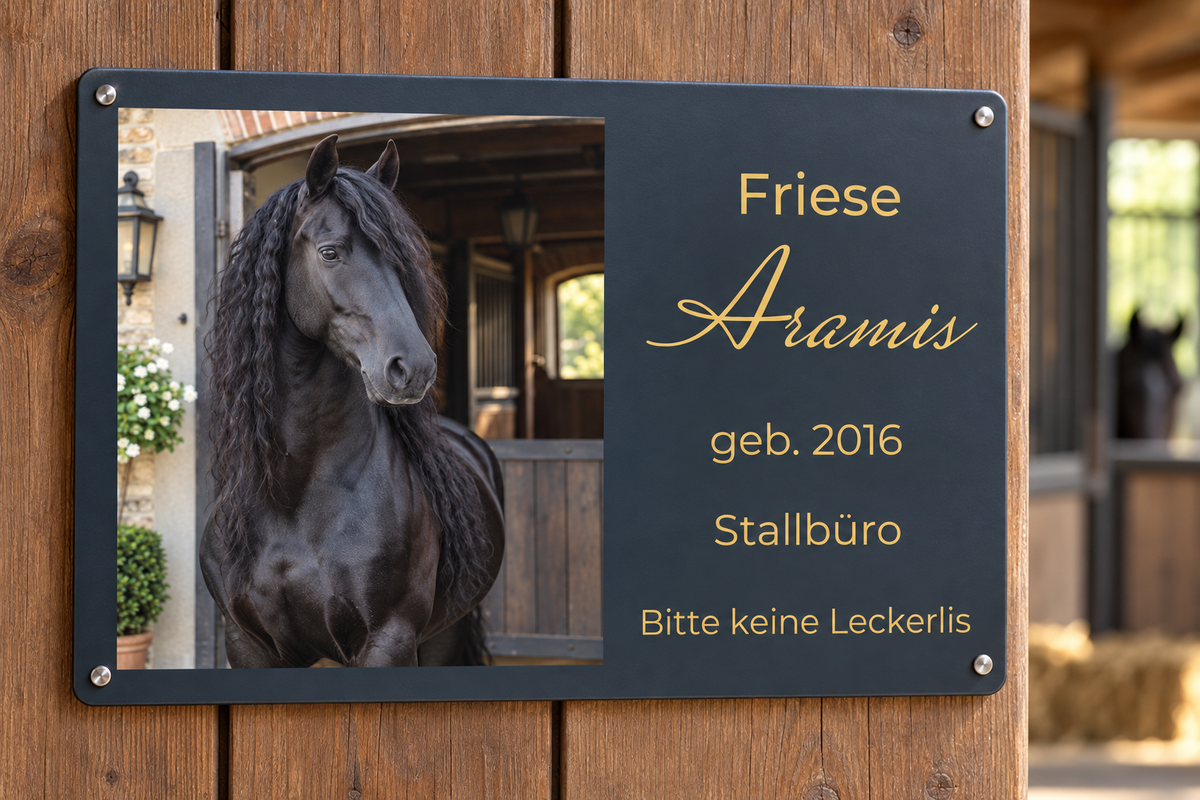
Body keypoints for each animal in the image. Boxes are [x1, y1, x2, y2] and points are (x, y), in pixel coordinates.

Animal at [200, 134, 505, 668]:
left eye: (401, 261)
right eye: (330, 252)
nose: (414, 367)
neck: (293, 496)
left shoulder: (388, 640)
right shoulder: (249, 644)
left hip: (442, 637)